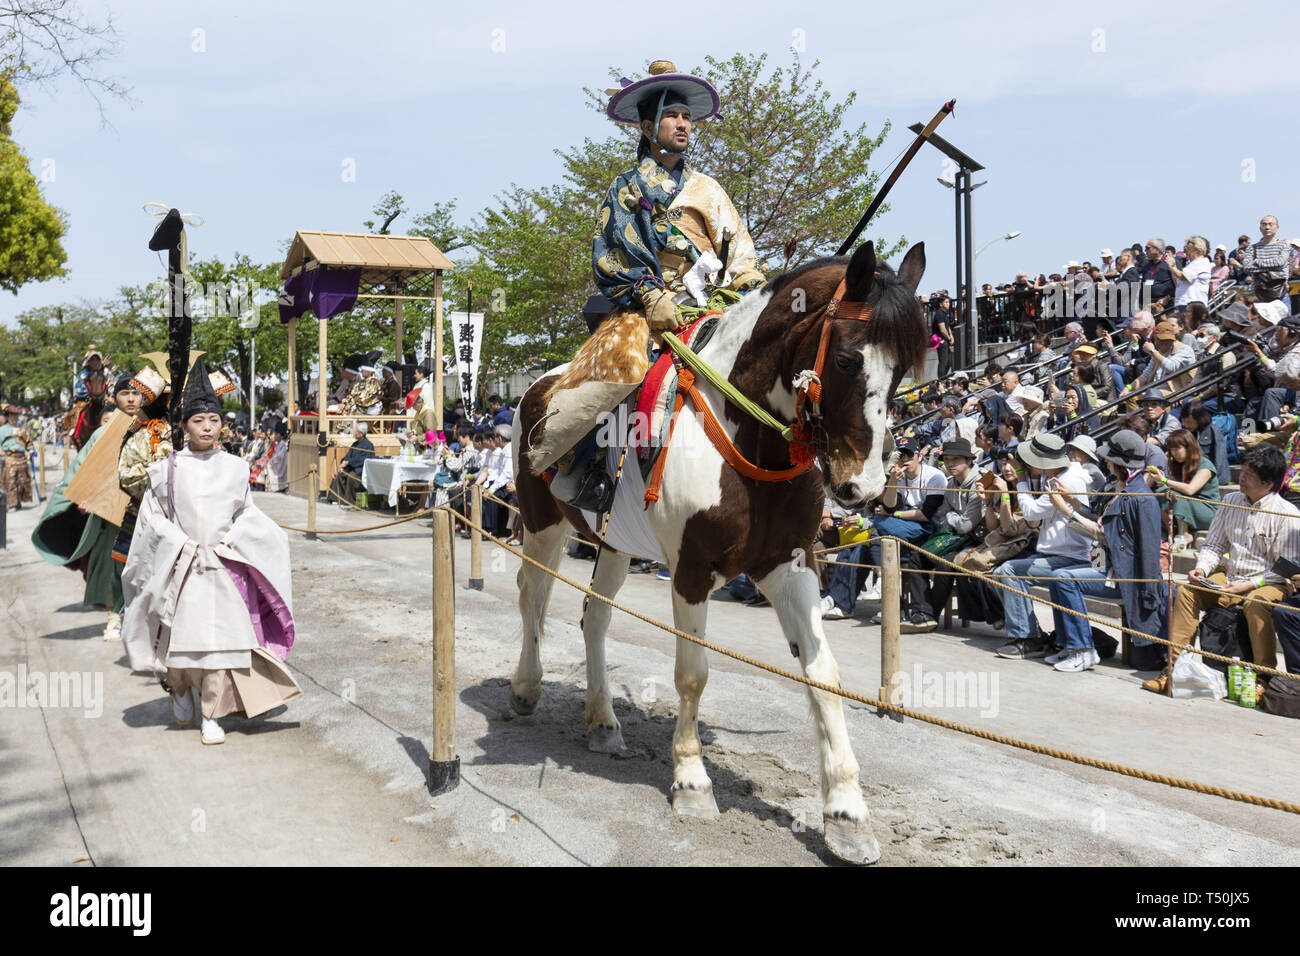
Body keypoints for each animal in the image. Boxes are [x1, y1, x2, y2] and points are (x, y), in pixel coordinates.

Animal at [512, 240, 930, 868]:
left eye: (903, 368)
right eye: (846, 361)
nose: (864, 487)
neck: (748, 435)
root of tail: (543, 384)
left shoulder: (790, 564)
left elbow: (823, 673)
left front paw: (848, 816)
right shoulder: (690, 566)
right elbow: (692, 674)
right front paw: (692, 781)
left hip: (613, 543)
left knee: (595, 618)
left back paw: (604, 723)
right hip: (543, 522)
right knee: (531, 595)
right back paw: (526, 686)